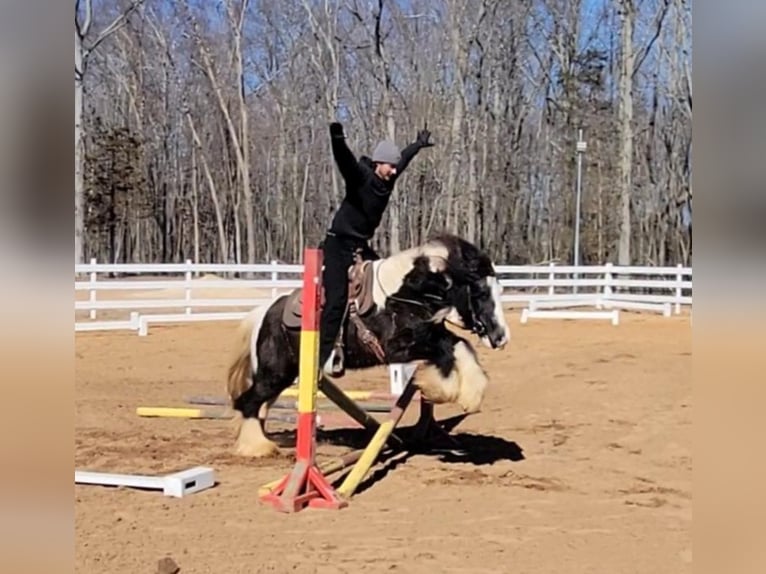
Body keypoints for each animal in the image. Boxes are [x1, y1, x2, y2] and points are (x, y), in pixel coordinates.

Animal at [225, 234, 512, 460]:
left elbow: (459, 346)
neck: (403, 294)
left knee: (259, 405)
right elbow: (447, 349)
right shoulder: (397, 348)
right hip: (275, 374)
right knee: (248, 402)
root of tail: (265, 312)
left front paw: (468, 394)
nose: (501, 337)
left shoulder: (430, 333)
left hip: (284, 376)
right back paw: (257, 447)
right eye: (480, 293)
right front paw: (445, 390)